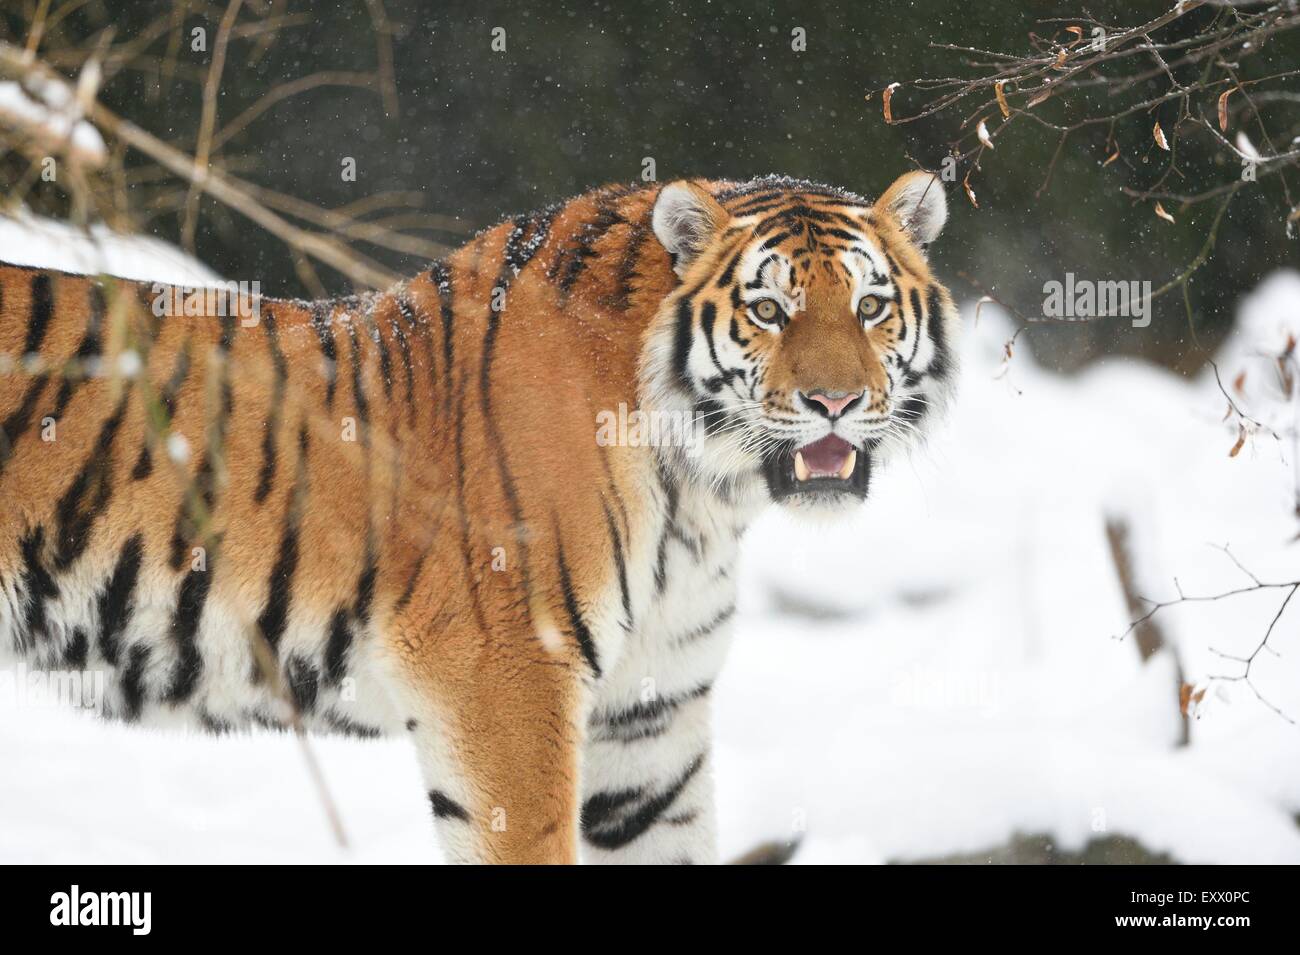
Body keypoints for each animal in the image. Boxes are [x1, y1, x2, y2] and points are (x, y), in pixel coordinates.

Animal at [0, 170, 956, 867]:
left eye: (870, 306)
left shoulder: (651, 713)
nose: (835, 402)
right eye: (768, 310)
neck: (708, 499)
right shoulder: (506, 677)